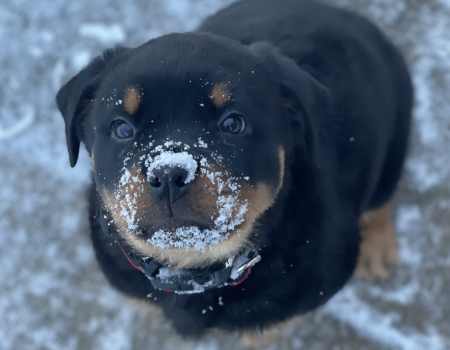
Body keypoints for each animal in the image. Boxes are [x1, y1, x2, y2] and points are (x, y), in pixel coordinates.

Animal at [55, 0, 412, 346]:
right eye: (122, 129)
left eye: (233, 124)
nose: (169, 174)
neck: (191, 272)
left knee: (381, 198)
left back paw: (378, 249)